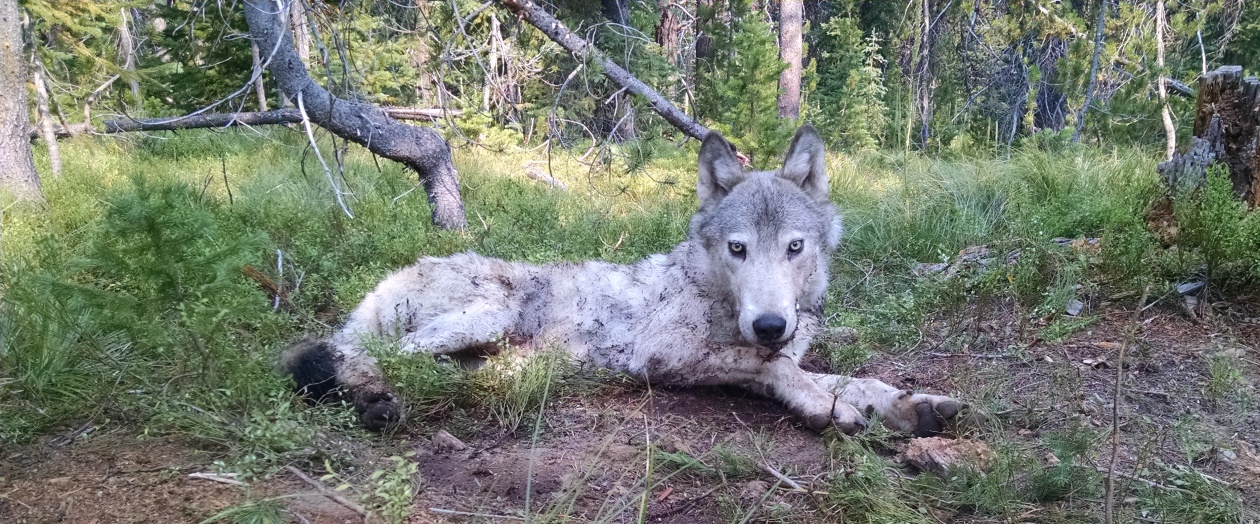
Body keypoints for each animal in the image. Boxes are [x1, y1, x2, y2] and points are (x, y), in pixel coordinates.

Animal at [284, 124, 965, 437]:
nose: (772, 323)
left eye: (794, 248)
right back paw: (376, 401)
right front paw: (826, 406)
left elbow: (851, 378)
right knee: (371, 358)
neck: (717, 297)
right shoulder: (662, 354)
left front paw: (911, 405)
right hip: (488, 314)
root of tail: (390, 276)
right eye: (738, 249)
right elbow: (776, 369)